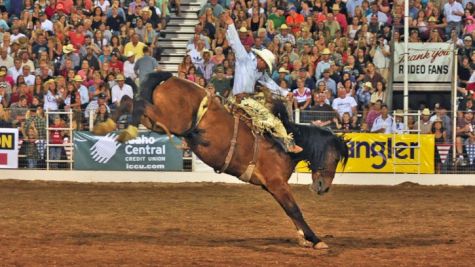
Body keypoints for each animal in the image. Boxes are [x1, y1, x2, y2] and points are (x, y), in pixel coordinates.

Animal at [94, 72, 350, 250]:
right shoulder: (276, 183)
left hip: (158, 122)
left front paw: (305, 239)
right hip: (170, 120)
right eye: (335, 157)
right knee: (136, 103)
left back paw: (110, 126)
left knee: (129, 100)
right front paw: (316, 239)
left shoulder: (271, 186)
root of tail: (169, 77)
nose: (324, 187)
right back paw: (122, 130)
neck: (284, 145)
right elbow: (295, 210)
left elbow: (289, 211)